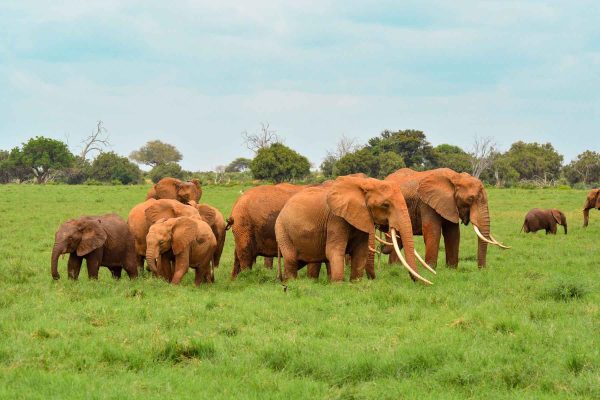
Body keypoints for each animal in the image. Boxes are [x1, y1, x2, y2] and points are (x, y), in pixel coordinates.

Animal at [276, 176, 432, 284]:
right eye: (385, 205)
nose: (424, 284)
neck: (363, 185)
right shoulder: (336, 218)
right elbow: (334, 250)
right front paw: (337, 285)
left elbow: (360, 252)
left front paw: (355, 283)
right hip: (282, 229)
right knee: (291, 258)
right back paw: (291, 283)